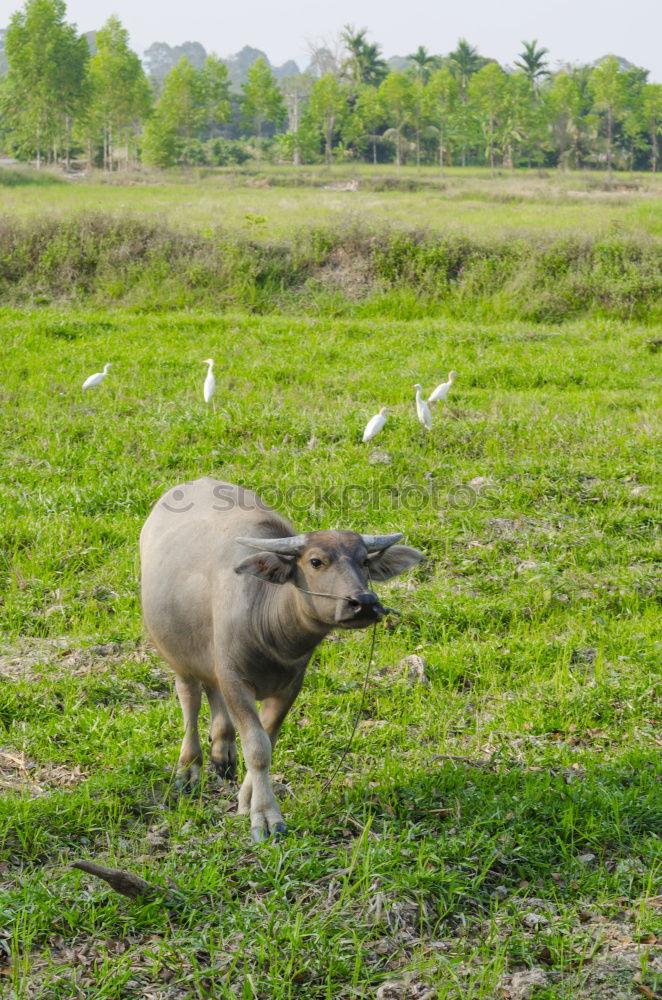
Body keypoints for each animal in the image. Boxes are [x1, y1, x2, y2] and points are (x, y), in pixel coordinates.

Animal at [141, 480, 422, 840]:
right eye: (316, 561)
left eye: (363, 561)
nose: (364, 602)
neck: (272, 631)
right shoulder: (236, 680)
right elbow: (258, 747)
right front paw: (265, 817)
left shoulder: (289, 685)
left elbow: (268, 741)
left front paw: (247, 799)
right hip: (176, 653)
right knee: (190, 698)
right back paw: (189, 769)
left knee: (211, 688)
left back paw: (223, 749)